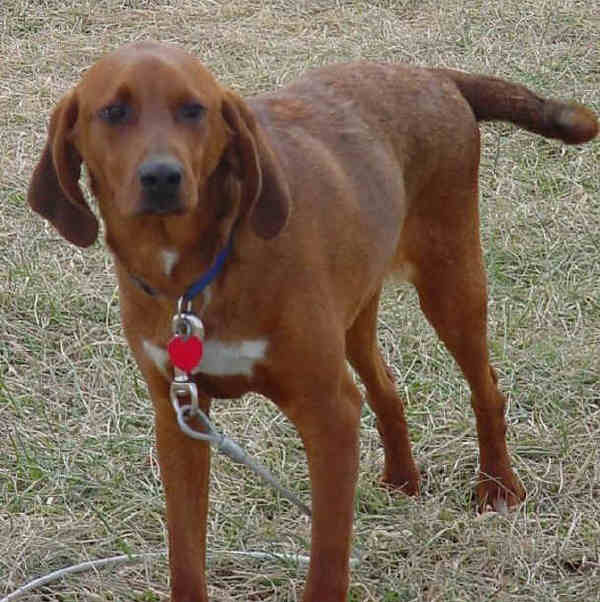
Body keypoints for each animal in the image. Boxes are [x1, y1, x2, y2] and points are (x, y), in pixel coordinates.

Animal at [27, 41, 596, 596]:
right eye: (113, 112)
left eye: (194, 110)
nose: (163, 177)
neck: (193, 278)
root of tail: (432, 74)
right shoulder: (181, 418)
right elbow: (185, 557)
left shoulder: (327, 412)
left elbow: (326, 561)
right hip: (356, 313)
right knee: (385, 389)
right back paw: (402, 478)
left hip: (451, 284)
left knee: (486, 388)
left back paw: (498, 487)